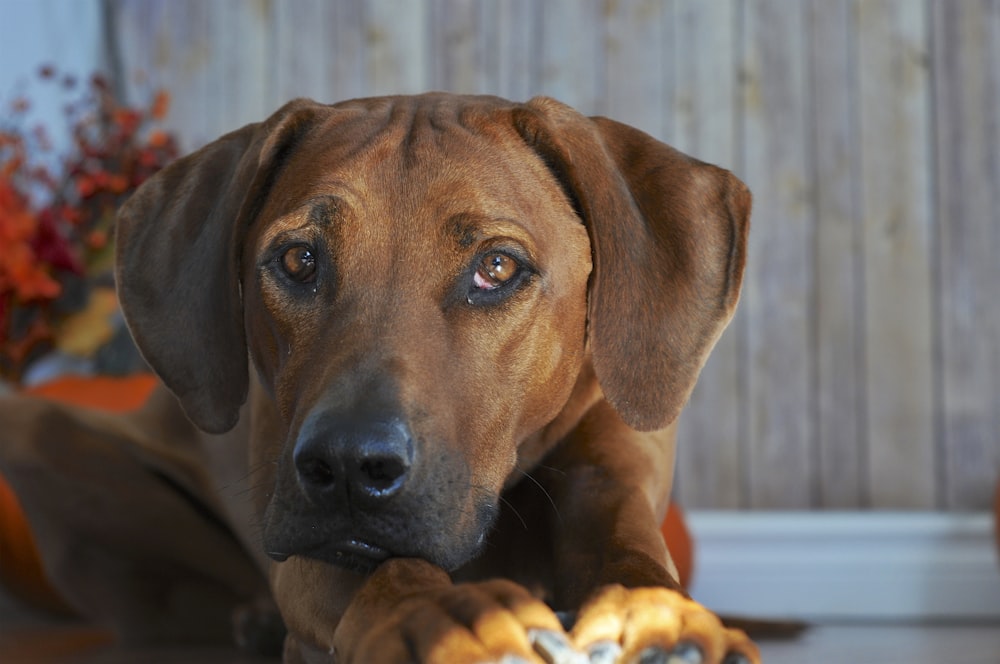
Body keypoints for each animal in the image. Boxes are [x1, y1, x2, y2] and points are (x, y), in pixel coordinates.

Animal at [0, 94, 752, 664]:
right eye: (299, 259)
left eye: (497, 267)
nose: (347, 466)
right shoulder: (309, 543)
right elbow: (386, 568)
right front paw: (449, 617)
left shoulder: (613, 472)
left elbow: (632, 556)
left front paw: (658, 618)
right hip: (37, 427)